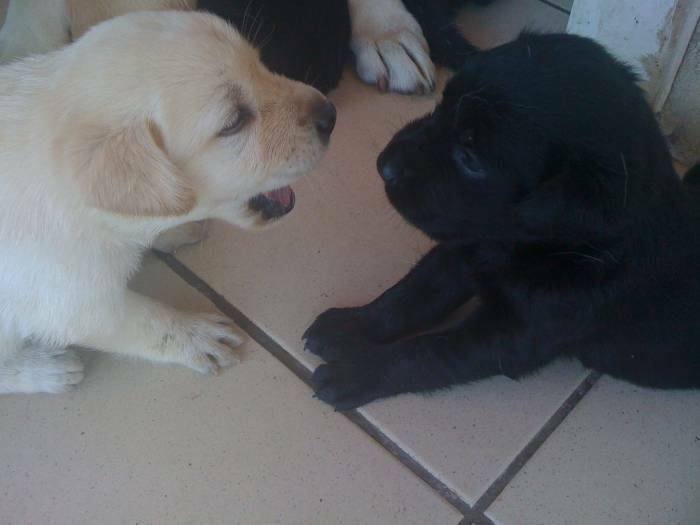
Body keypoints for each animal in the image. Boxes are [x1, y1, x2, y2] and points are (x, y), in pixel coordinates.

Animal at [304, 31, 700, 410]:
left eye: (469, 158)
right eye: (441, 106)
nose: (383, 166)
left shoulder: (512, 336)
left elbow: (423, 351)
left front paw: (356, 372)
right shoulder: (462, 248)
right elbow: (408, 296)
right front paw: (349, 325)